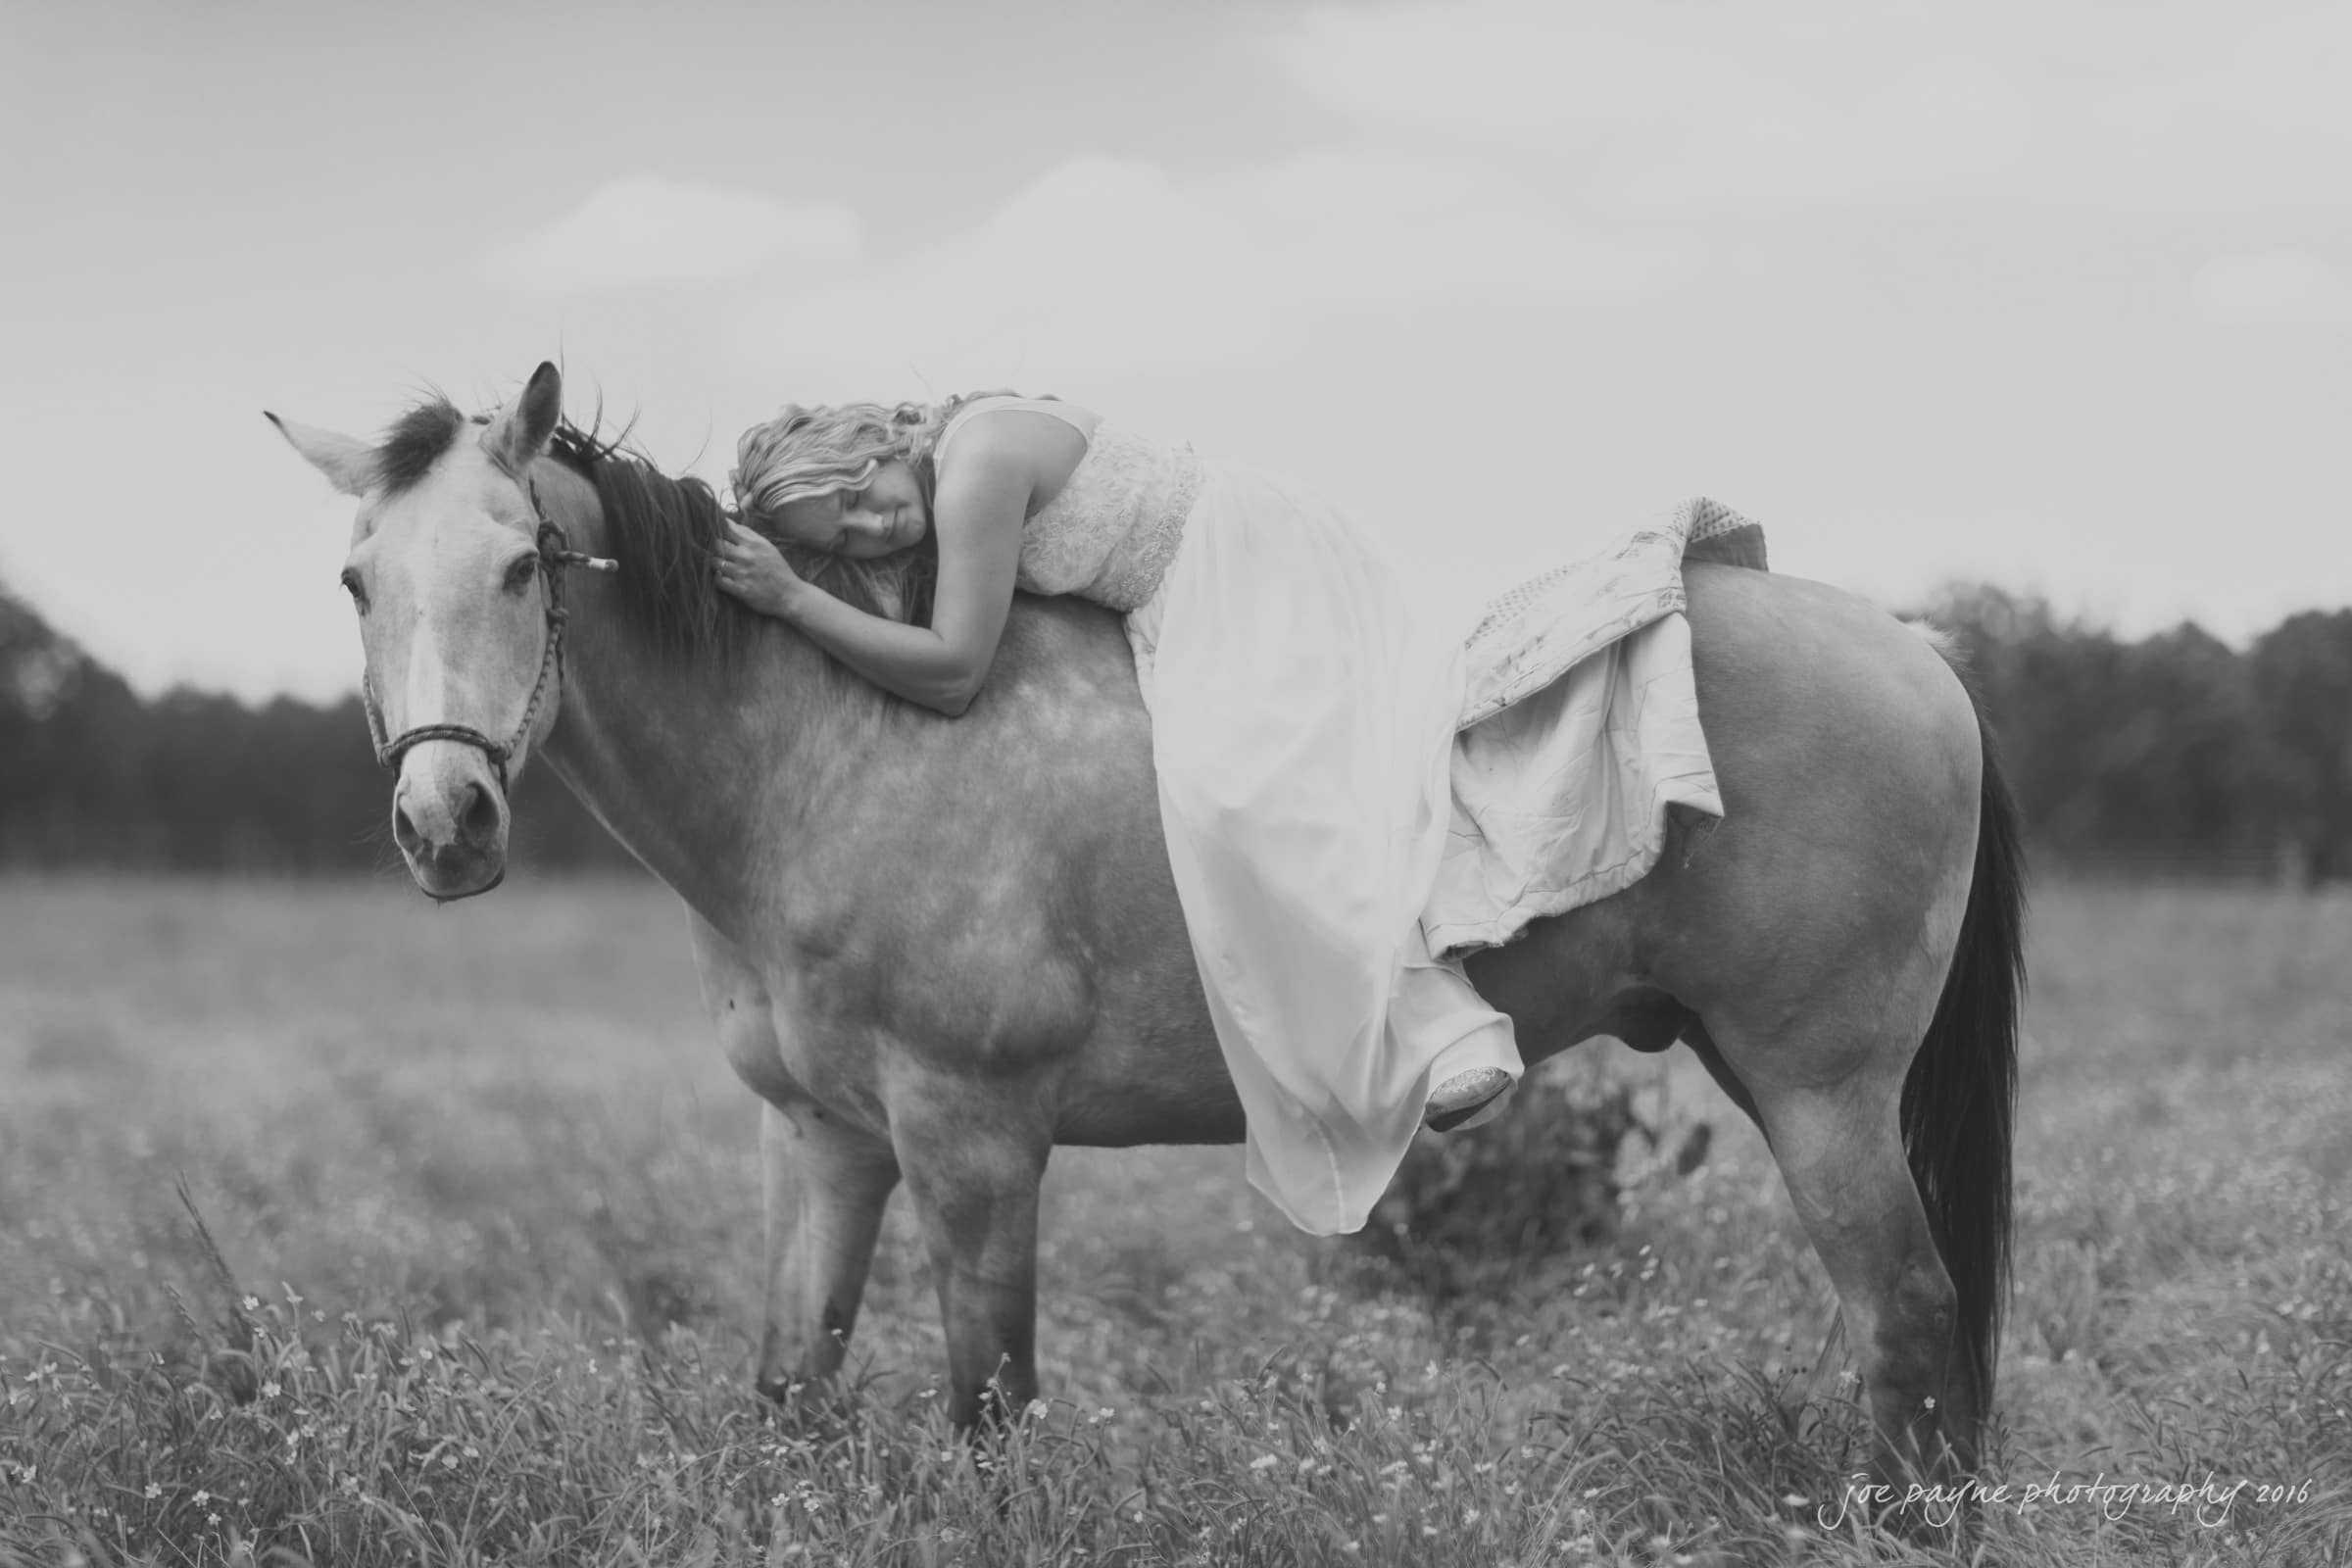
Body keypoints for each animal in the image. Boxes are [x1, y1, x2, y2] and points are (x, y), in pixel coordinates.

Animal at [268, 361, 2023, 1489]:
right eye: (356, 582)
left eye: (522, 565)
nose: (446, 825)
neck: (827, 750)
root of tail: (1923, 659)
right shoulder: (821, 1140)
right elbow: (792, 1385)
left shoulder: (974, 1142)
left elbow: (989, 1410)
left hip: (1820, 1091)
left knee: (1911, 1325)